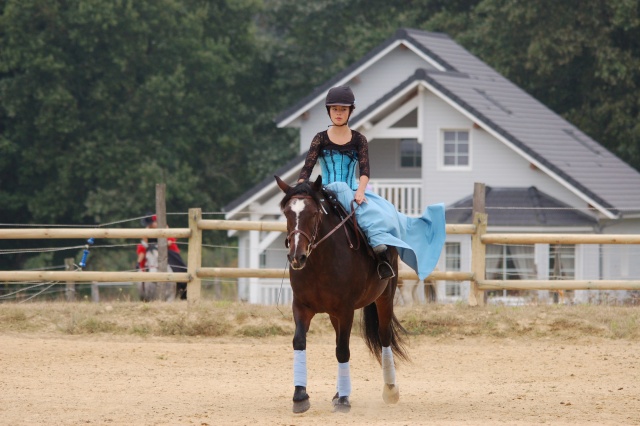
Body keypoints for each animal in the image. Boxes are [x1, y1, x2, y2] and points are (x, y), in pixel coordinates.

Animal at [276, 175, 410, 414]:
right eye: (287, 214)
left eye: (314, 213)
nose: (297, 257)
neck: (319, 262)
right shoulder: (301, 307)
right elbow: (300, 342)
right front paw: (300, 396)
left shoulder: (345, 310)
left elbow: (343, 351)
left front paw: (344, 401)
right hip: (333, 314)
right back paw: (338, 392)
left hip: (385, 297)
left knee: (384, 336)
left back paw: (390, 390)